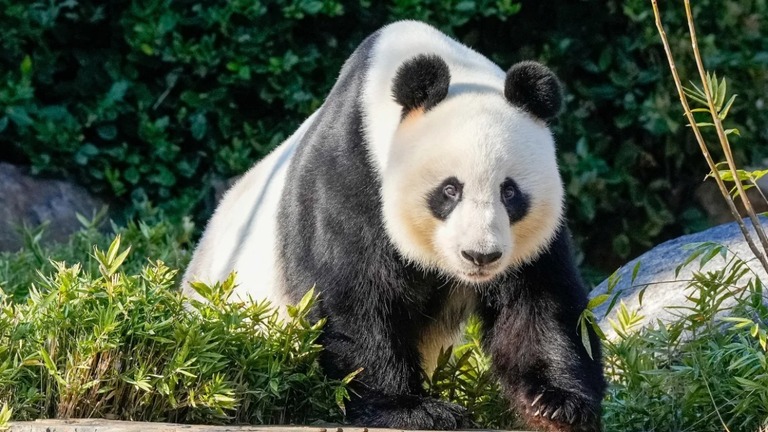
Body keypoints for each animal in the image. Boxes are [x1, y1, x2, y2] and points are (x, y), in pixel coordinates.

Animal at [182, 20, 608, 432]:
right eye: (450, 190)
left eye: (510, 192)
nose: (480, 256)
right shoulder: (351, 174)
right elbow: (354, 297)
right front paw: (412, 408)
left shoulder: (530, 240)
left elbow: (539, 300)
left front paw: (555, 403)